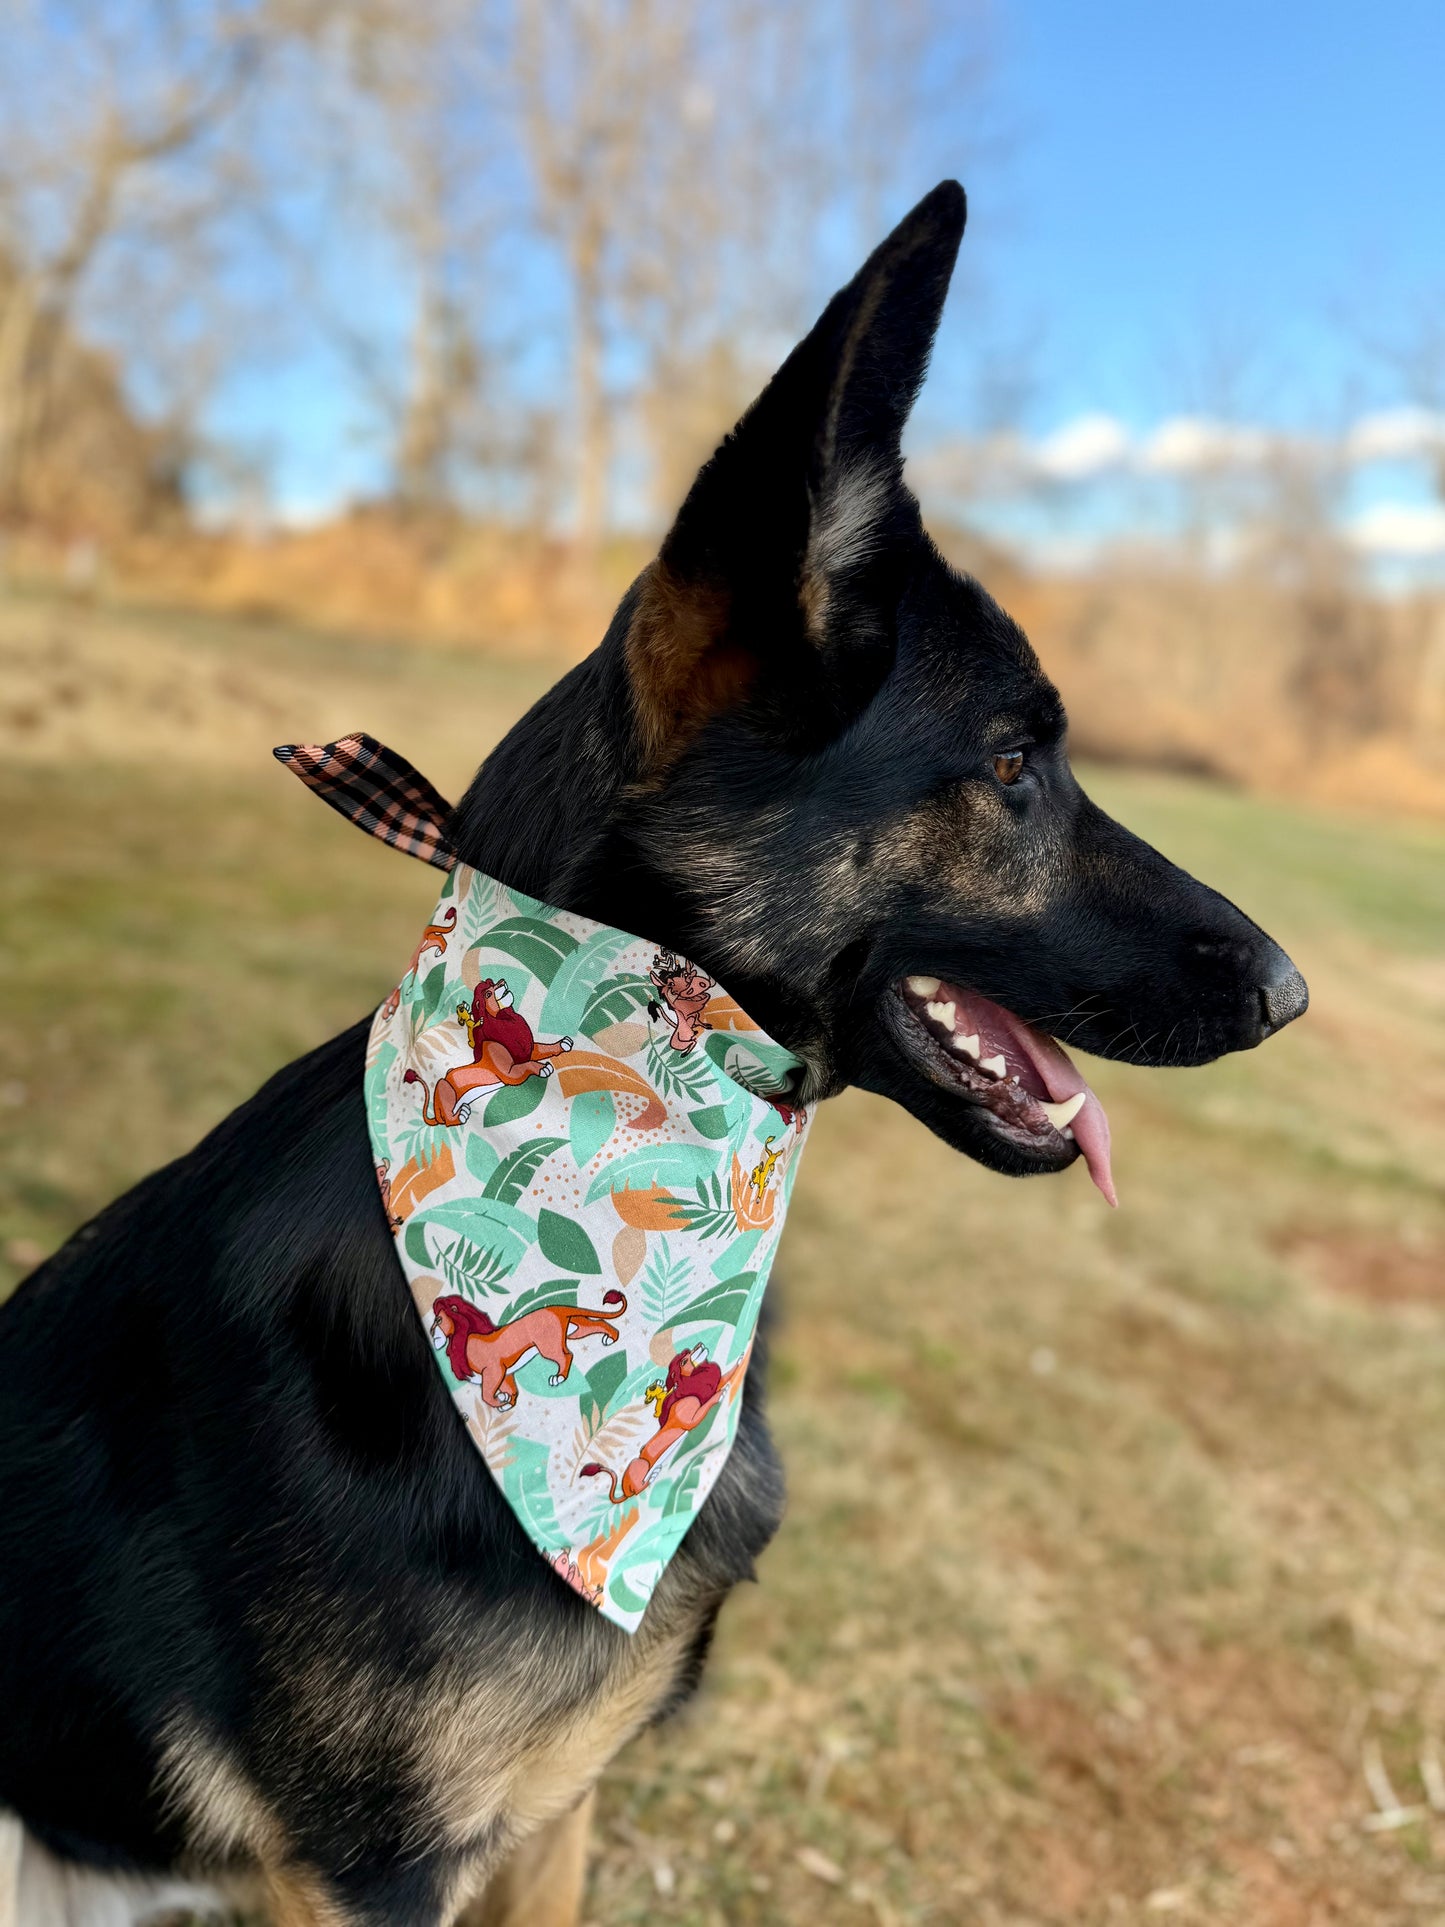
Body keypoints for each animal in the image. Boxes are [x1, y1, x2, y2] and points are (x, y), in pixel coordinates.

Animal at [404, 976, 572, 1126]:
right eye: (488, 994)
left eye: (492, 983)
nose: (502, 981)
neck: (506, 1020)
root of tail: (437, 1113)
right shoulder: (510, 1073)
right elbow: (527, 1065)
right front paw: (542, 1068)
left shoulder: (527, 1051)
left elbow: (545, 1047)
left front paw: (563, 1044)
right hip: (444, 1086)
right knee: (449, 1118)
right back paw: (462, 1115)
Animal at [430, 1289, 627, 1411]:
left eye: (438, 1320)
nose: (431, 1332)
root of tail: (555, 1308)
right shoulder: (506, 1374)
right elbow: (511, 1390)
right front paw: (507, 1403)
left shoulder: (494, 1370)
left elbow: (486, 1395)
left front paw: (499, 1399)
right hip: (575, 1329)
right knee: (599, 1323)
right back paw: (612, 1336)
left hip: (548, 1345)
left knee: (566, 1356)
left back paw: (559, 1377)